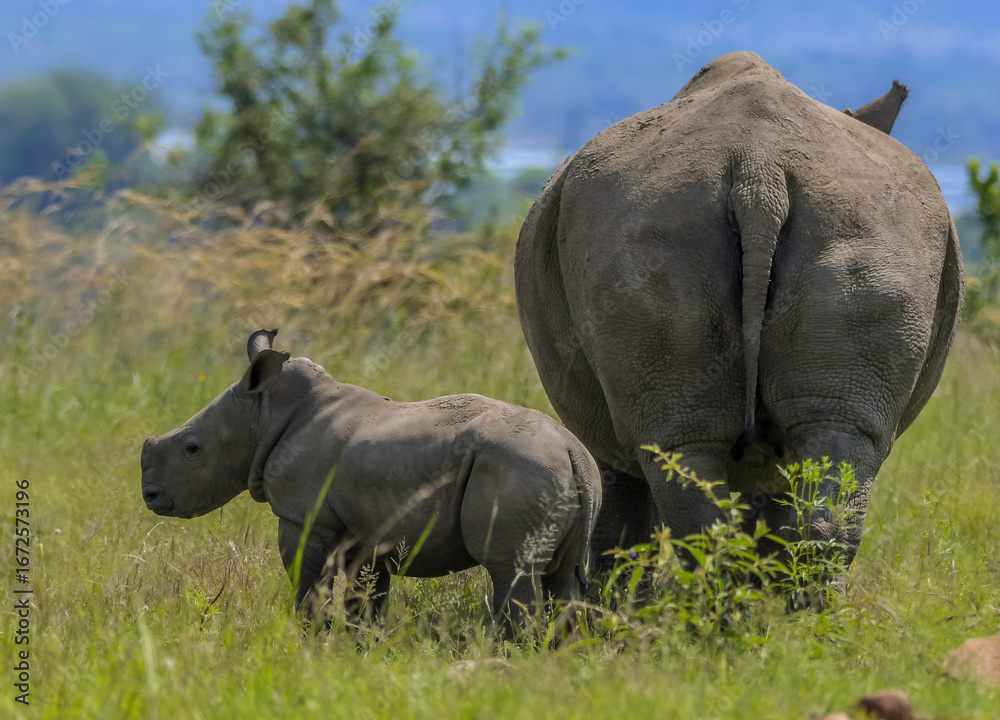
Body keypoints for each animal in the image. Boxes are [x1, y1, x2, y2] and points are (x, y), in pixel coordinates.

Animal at [139, 330, 600, 633]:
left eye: (192, 449)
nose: (151, 496)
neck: (266, 412)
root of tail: (572, 449)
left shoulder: (304, 517)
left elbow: (309, 585)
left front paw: (311, 640)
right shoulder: (371, 528)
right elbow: (366, 597)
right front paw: (360, 646)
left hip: (518, 468)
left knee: (511, 569)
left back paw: (510, 651)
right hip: (566, 476)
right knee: (563, 578)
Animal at [514, 52, 964, 573]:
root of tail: (759, 171)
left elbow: (625, 521)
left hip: (656, 228)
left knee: (687, 455)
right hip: (867, 231)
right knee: (832, 443)